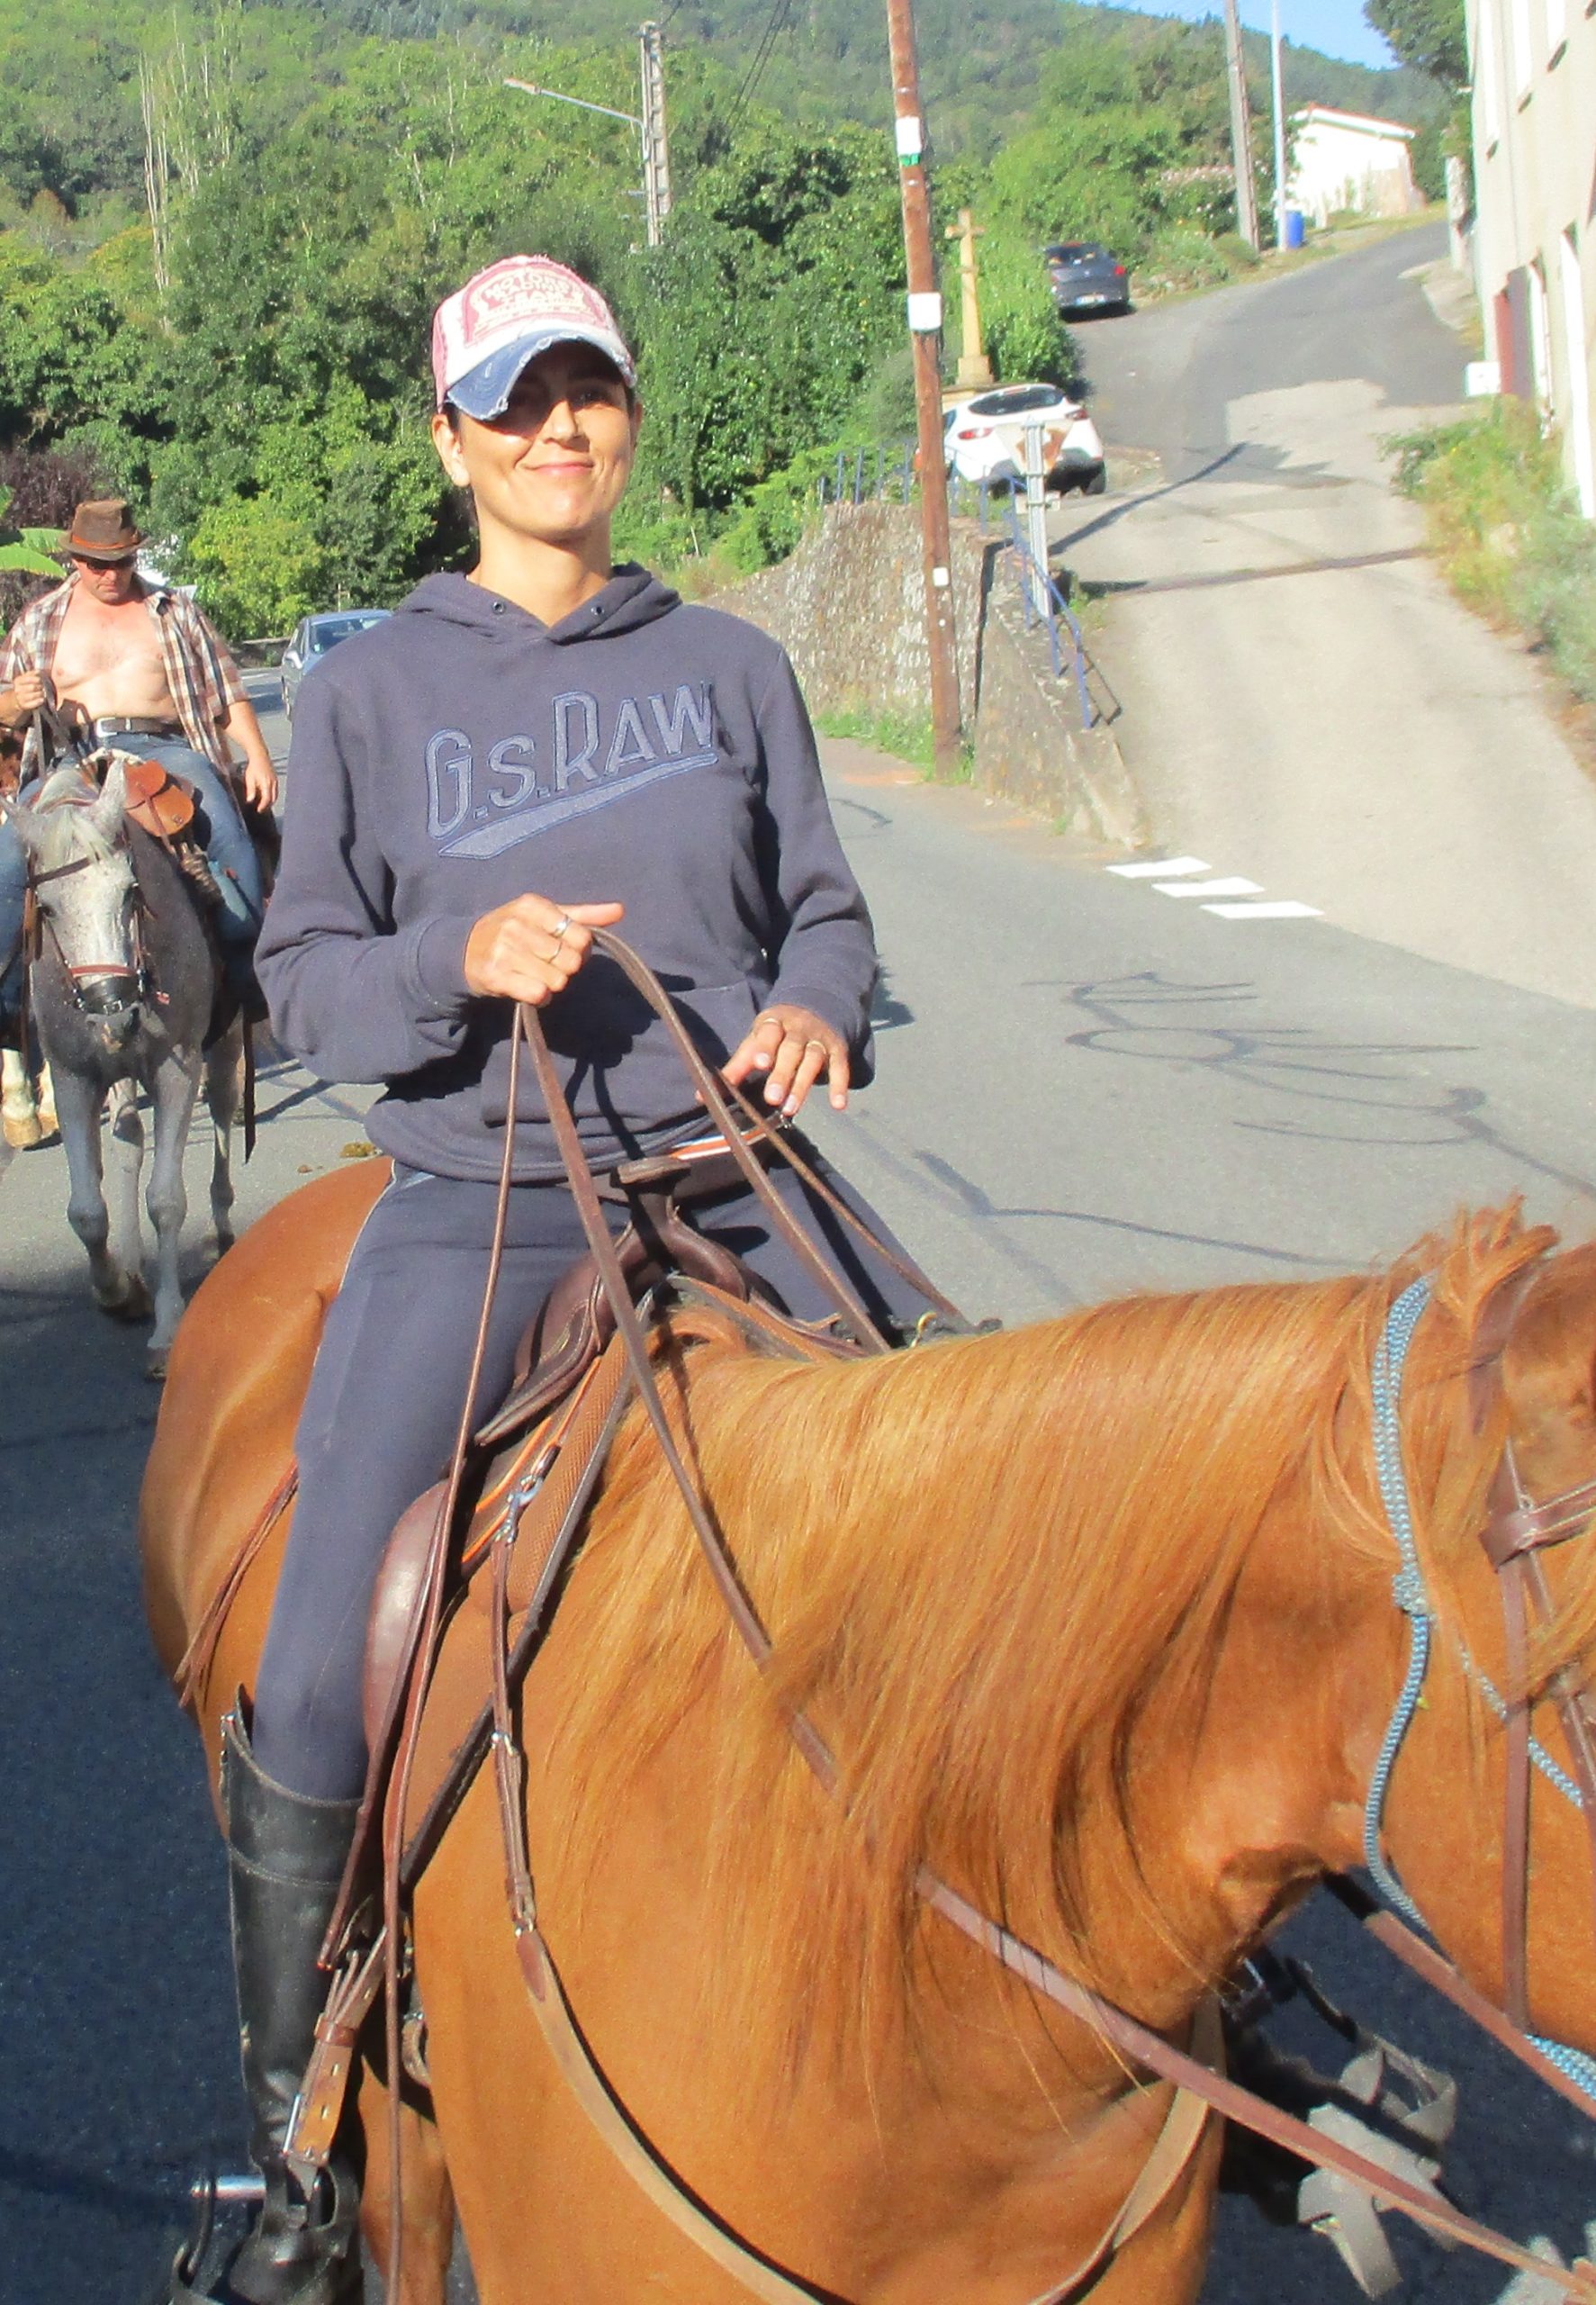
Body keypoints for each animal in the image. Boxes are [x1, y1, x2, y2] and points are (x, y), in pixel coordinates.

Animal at [6, 760, 242, 1364]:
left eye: (131, 891)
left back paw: (223, 1225)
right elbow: (87, 1210)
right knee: (131, 1139)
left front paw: (168, 1325)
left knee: (224, 1110)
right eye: (47, 908)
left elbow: (166, 1200)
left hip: (224, 1042)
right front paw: (115, 1289)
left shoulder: (176, 1068)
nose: (117, 1014)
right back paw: (134, 1261)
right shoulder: (72, 1076)